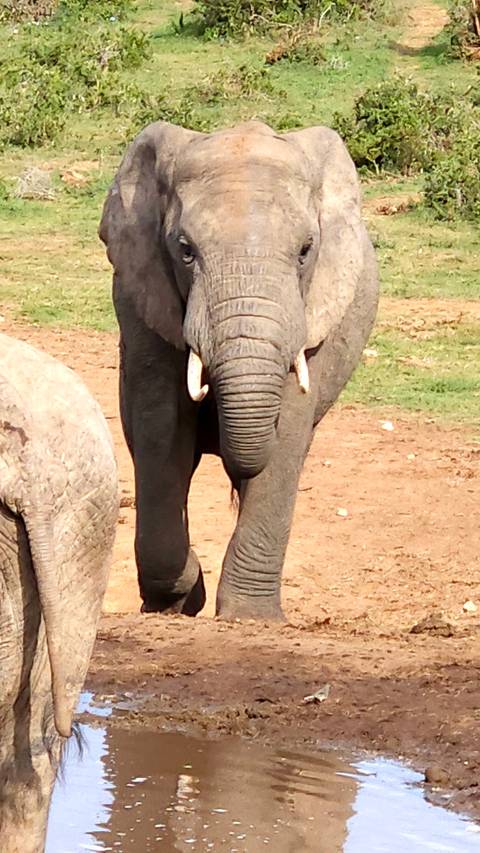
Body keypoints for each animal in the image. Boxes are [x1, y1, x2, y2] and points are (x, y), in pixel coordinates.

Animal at [99, 119, 378, 622]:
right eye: (185, 250)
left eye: (306, 250)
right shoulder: (142, 297)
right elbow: (161, 427)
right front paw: (179, 601)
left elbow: (286, 435)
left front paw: (250, 618)